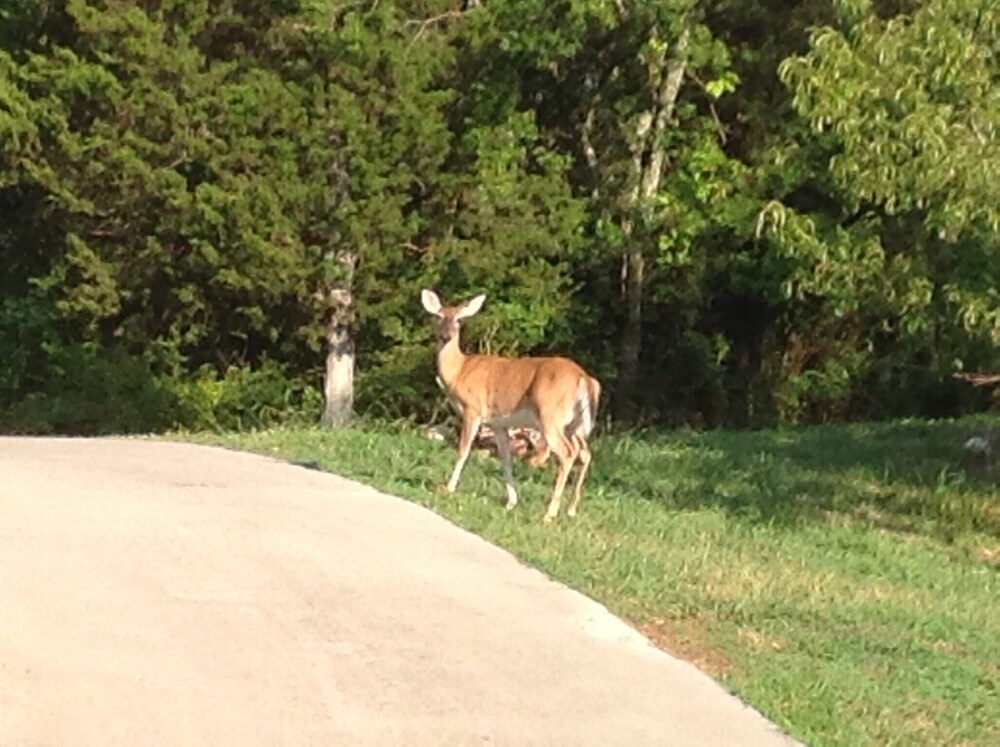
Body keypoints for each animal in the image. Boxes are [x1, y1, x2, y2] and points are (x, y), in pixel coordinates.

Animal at [418, 290, 596, 524]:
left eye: (459, 320)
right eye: (438, 317)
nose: (446, 337)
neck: (459, 371)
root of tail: (584, 378)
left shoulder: (473, 409)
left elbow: (463, 450)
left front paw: (448, 488)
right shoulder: (498, 422)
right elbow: (505, 458)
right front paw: (512, 501)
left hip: (551, 415)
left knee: (568, 453)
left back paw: (549, 514)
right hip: (574, 424)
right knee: (585, 453)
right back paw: (571, 509)